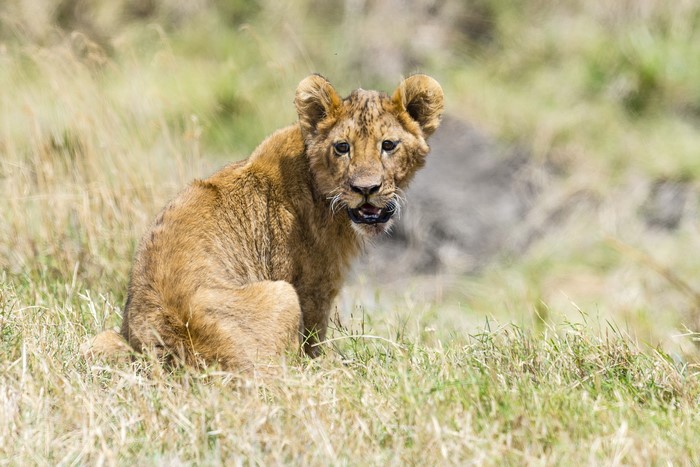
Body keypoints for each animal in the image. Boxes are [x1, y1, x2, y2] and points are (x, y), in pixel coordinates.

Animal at [87, 74, 444, 371]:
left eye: (389, 145)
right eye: (342, 147)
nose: (366, 189)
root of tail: (178, 356)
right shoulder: (313, 288)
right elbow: (312, 343)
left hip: (100, 342)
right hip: (281, 296)